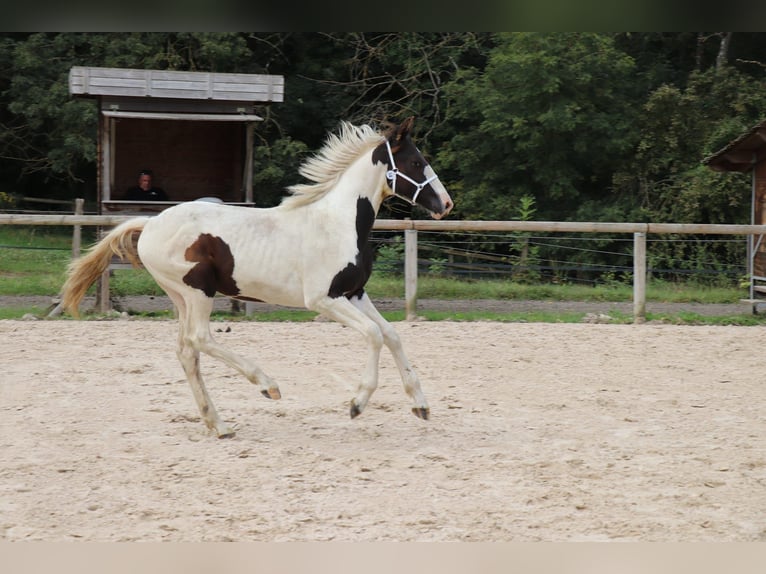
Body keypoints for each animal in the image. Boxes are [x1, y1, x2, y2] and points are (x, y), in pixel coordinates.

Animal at [64, 118, 456, 440]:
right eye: (415, 162)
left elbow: (391, 334)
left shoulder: (355, 293)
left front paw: (420, 405)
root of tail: (149, 223)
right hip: (199, 290)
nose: (446, 204)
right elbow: (374, 334)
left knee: (187, 351)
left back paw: (219, 424)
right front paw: (357, 404)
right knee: (200, 339)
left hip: (180, 297)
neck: (338, 223)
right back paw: (267, 386)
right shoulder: (324, 299)